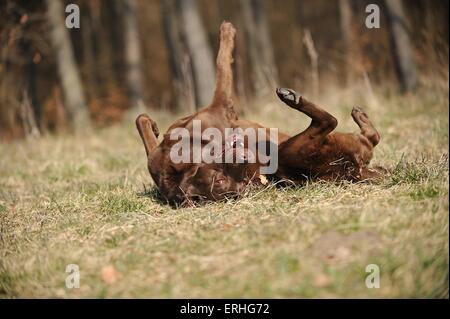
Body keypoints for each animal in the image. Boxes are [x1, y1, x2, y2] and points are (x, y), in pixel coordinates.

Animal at [135, 23, 382, 208]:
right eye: (221, 181)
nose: (244, 164)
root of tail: (355, 170)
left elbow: (142, 122)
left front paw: (153, 126)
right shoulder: (220, 105)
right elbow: (222, 65)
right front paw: (227, 31)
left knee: (370, 136)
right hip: (292, 150)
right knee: (333, 122)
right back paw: (292, 98)